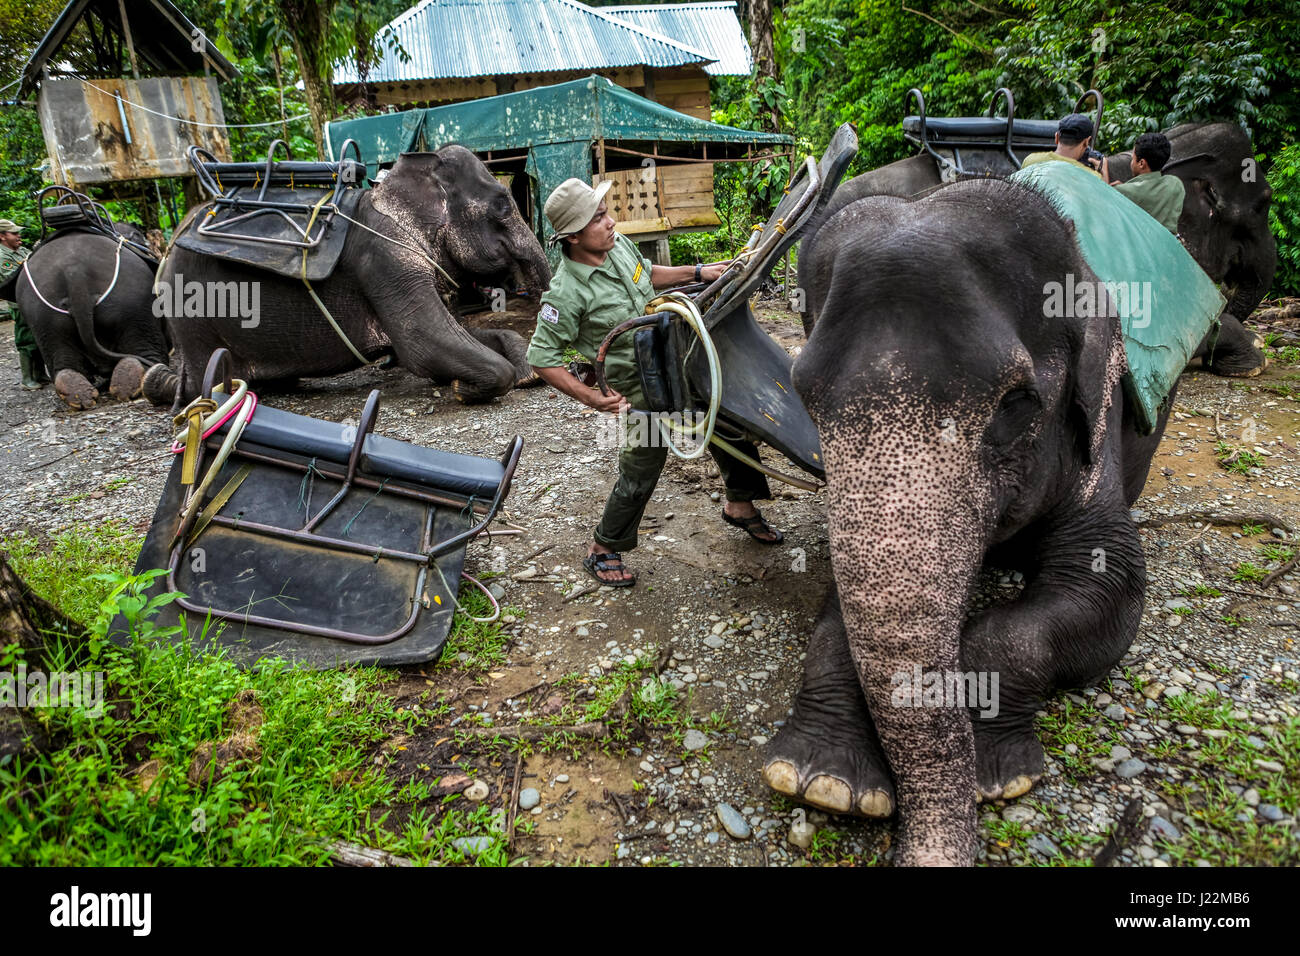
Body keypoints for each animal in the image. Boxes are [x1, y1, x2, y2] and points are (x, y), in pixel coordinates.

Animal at [0, 218, 167, 408]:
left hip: (41, 316)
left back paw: (79, 394)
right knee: (145, 347)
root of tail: (74, 272)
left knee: (61, 360)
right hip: (132, 300)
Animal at [144, 145, 551, 408]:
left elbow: (459, 334)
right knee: (202, 383)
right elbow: (422, 346)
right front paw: (460, 388)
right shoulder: (385, 262)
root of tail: (169, 245)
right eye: (503, 205)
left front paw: (526, 373)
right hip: (191, 308)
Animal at [764, 174, 1175, 868]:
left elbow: (1113, 581)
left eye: (1017, 403)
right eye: (804, 397)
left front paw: (993, 777)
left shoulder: (1099, 431)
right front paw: (822, 783)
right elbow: (842, 586)